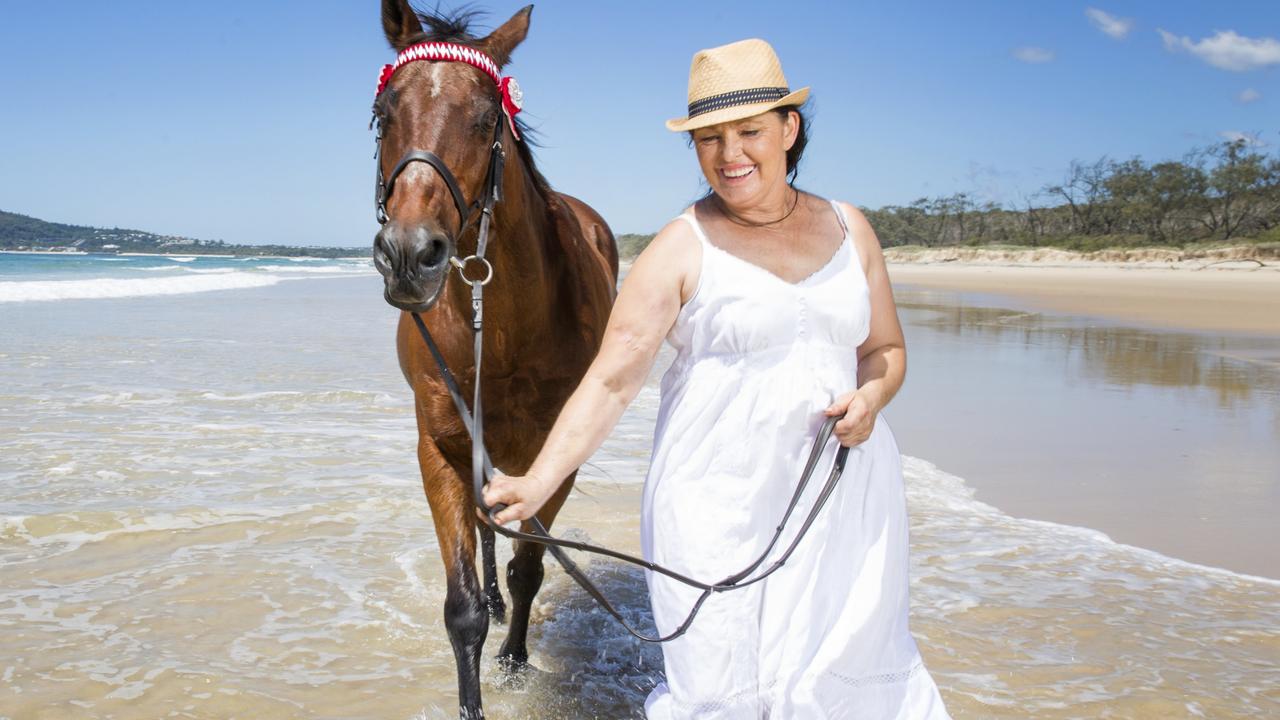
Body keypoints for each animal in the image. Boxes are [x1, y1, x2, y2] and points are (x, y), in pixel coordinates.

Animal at [371, 2, 619, 712]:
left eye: (487, 120)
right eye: (383, 114)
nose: (409, 254)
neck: (503, 329)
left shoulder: (556, 455)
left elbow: (530, 565)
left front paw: (513, 658)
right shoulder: (443, 445)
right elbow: (462, 609)